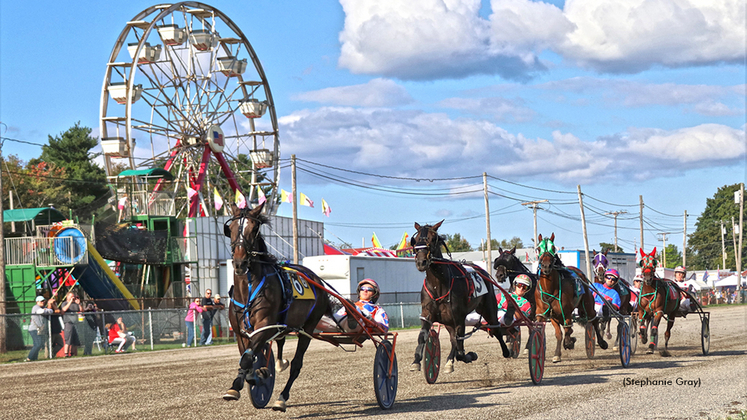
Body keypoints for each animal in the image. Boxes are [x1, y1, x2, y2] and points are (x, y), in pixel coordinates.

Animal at [221, 202, 328, 412]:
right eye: (232, 228)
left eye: (254, 228)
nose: (240, 262)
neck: (248, 290)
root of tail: (315, 278)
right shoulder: (240, 331)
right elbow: (247, 357)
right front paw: (248, 379)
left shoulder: (264, 326)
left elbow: (247, 358)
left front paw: (245, 382)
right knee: (279, 342)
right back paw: (277, 365)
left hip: (308, 327)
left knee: (296, 364)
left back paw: (281, 398)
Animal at [406, 221, 512, 372]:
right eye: (416, 239)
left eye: (433, 238)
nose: (421, 262)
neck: (439, 285)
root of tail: (483, 271)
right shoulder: (428, 314)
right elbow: (423, 337)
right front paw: (416, 361)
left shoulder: (458, 317)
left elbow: (460, 347)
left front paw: (467, 356)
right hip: (449, 321)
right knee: (454, 340)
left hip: (488, 308)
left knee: (496, 329)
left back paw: (506, 351)